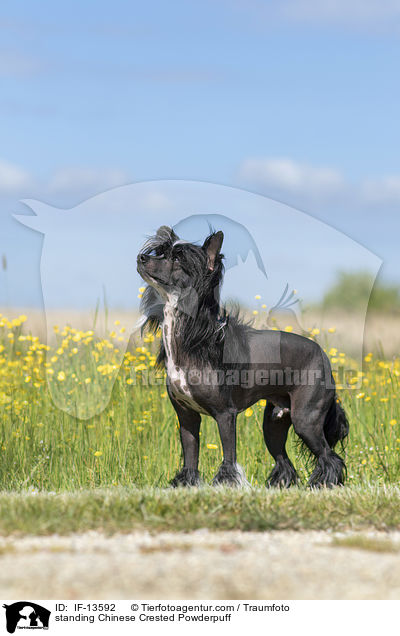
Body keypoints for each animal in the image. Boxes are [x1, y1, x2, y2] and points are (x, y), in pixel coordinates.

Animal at [137, 226, 346, 490]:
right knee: (284, 461)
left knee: (330, 457)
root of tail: (323, 355)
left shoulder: (225, 414)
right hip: (274, 422)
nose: (141, 258)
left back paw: (325, 484)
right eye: (161, 252)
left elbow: (229, 457)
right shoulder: (186, 416)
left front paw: (227, 483)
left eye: (177, 259)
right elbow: (190, 457)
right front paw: (186, 484)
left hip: (306, 419)